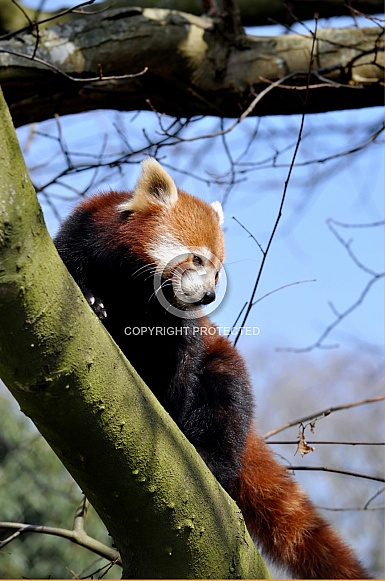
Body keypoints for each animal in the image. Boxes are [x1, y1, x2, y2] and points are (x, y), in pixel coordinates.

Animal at [54, 157, 368, 576]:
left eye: (218, 270)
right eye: (197, 258)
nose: (209, 294)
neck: (133, 288)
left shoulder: (182, 331)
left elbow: (179, 372)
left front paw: (166, 408)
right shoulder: (81, 237)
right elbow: (76, 268)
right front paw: (92, 301)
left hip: (224, 370)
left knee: (222, 409)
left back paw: (209, 460)